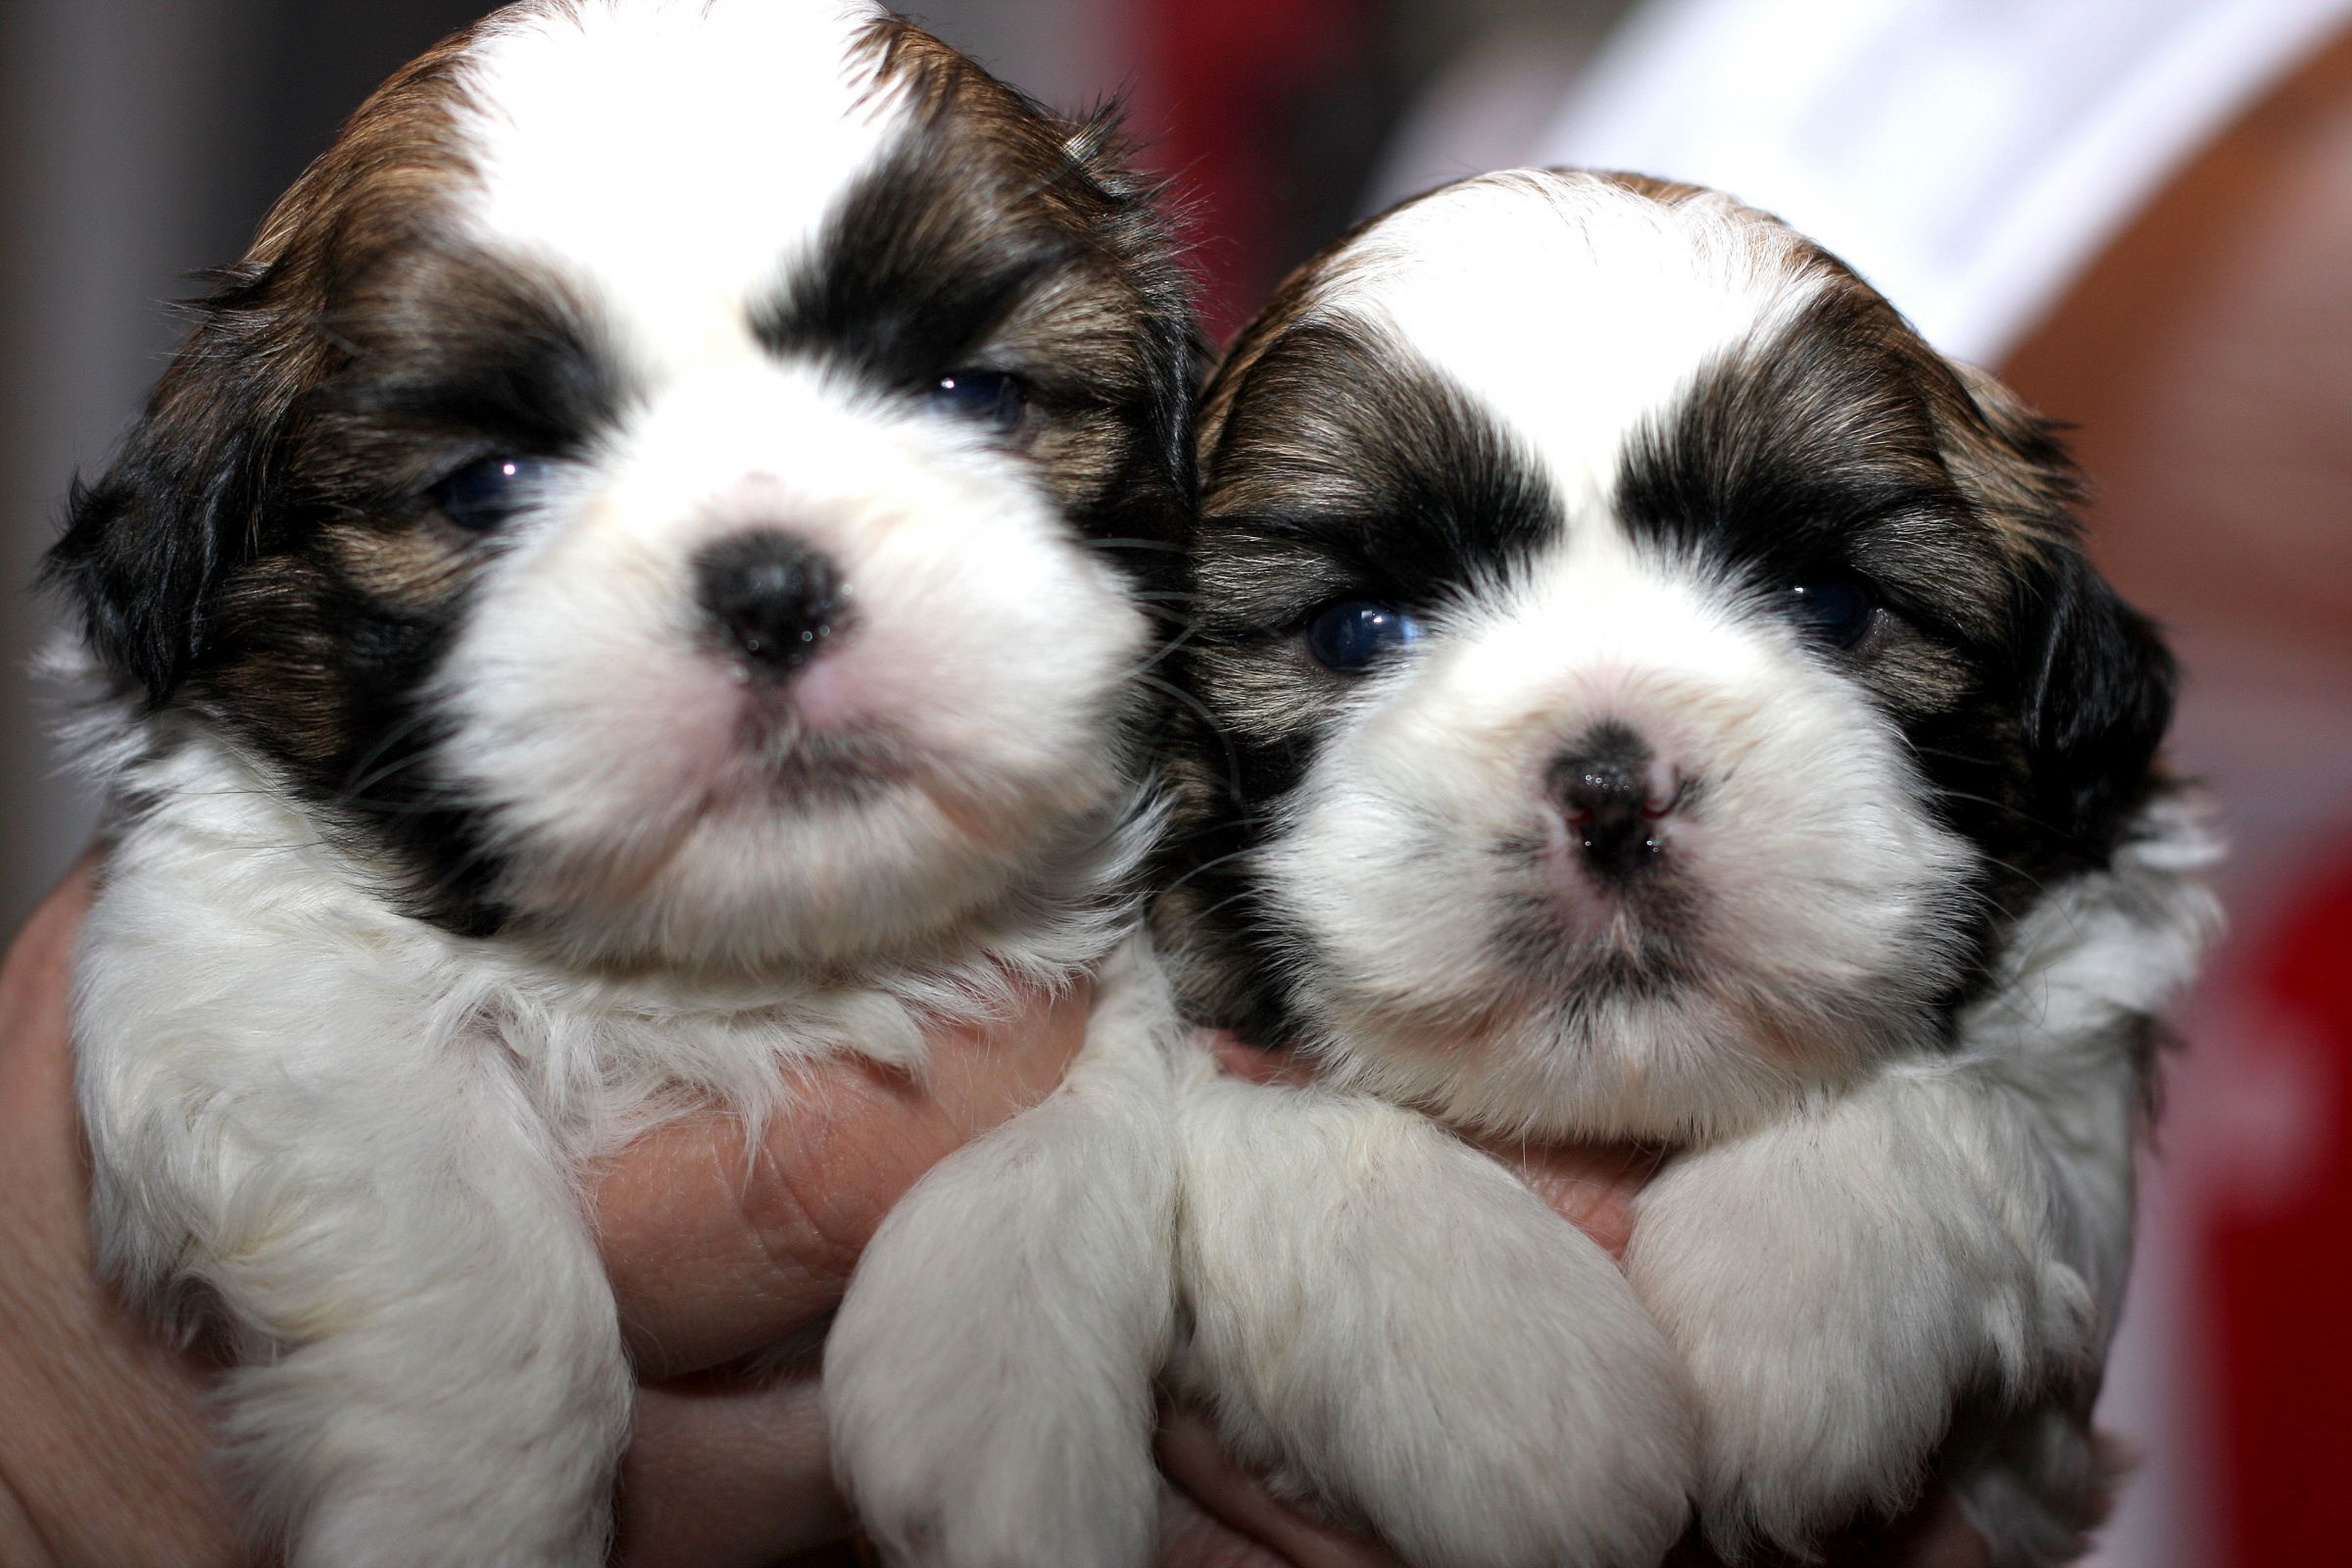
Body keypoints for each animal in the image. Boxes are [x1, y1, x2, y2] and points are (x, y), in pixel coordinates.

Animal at [41, 3, 1195, 1568]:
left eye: (974, 395)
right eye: (486, 486)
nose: (770, 587)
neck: (725, 971)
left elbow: (1075, 1139)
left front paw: (1008, 1443)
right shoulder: (239, 970)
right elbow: (458, 1237)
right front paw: (466, 1505)